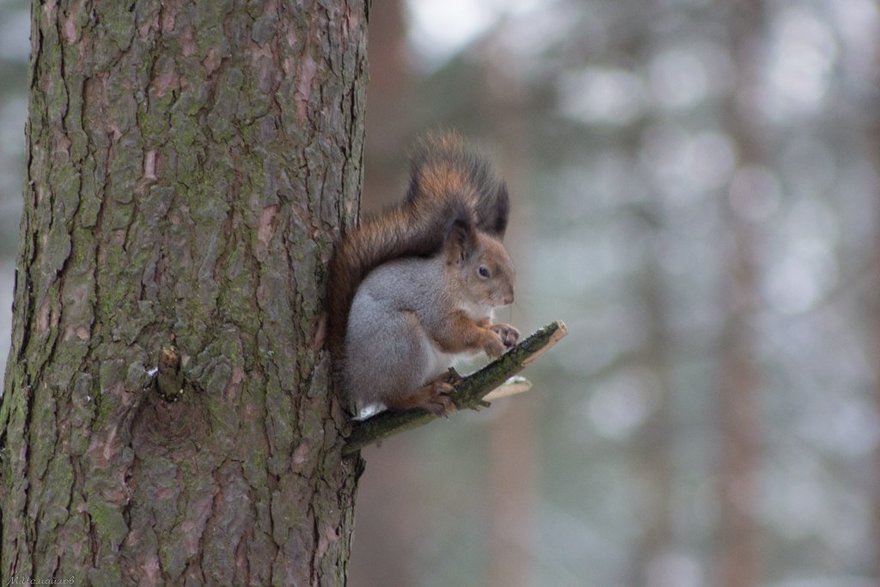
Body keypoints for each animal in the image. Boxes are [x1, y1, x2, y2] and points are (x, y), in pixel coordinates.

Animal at [330, 133, 524, 418]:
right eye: (483, 271)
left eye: (510, 263)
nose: (508, 299)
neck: (462, 292)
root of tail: (356, 378)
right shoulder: (434, 307)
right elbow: (453, 334)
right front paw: (488, 338)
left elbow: (479, 329)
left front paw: (502, 330)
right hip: (402, 344)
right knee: (394, 399)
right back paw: (426, 396)